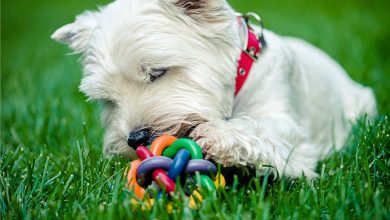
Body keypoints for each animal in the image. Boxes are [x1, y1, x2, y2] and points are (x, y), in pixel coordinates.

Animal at [51, 0, 374, 178]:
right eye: (108, 99)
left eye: (157, 72)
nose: (135, 139)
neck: (240, 78)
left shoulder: (291, 133)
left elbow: (261, 131)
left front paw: (217, 135)